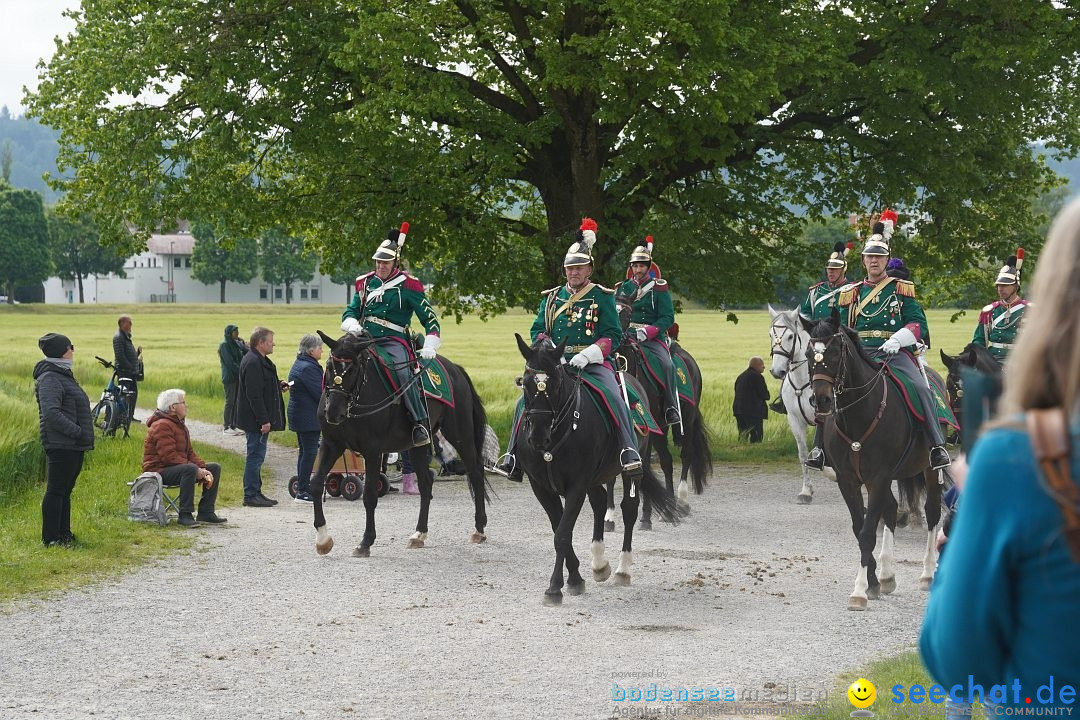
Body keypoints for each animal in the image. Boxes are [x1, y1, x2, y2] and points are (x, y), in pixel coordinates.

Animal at [311, 332, 492, 557]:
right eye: (329, 366)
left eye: (353, 369)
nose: (334, 413)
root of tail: (454, 368)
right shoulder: (331, 444)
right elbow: (316, 484)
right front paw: (322, 539)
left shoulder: (373, 450)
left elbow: (369, 495)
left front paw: (365, 542)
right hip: (417, 446)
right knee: (426, 483)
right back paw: (419, 534)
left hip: (460, 434)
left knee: (475, 472)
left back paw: (479, 529)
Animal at [511, 334, 678, 604]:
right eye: (525, 383)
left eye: (556, 384)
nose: (537, 437)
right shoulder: (541, 487)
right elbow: (559, 530)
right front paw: (575, 578)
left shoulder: (576, 486)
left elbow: (562, 534)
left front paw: (555, 587)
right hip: (595, 477)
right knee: (600, 503)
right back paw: (600, 563)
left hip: (632, 465)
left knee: (629, 509)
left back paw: (622, 569)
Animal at [613, 297, 712, 528]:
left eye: (627, 315)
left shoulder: (646, 430)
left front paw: (645, 516)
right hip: (661, 429)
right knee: (666, 461)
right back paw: (668, 509)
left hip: (686, 419)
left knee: (686, 454)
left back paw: (682, 503)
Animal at [803, 317, 946, 613]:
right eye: (809, 354)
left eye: (835, 353)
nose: (821, 400)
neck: (859, 414)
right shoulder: (849, 480)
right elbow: (860, 529)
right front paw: (872, 583)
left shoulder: (878, 477)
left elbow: (868, 532)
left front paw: (859, 591)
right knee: (890, 510)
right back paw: (887, 575)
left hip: (928, 469)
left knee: (932, 513)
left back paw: (927, 574)